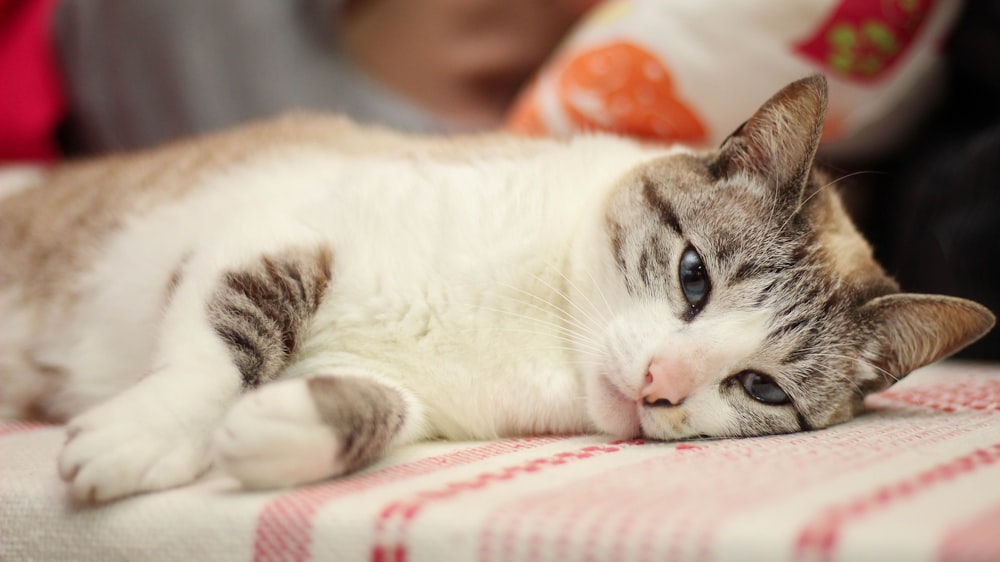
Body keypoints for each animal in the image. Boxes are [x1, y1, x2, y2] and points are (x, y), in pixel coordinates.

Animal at [0, 73, 992, 498]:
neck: (539, 335)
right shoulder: (273, 227)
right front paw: (139, 439)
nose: (659, 387)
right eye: (694, 277)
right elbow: (228, 345)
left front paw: (276, 432)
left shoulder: (425, 398)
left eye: (762, 389)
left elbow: (378, 407)